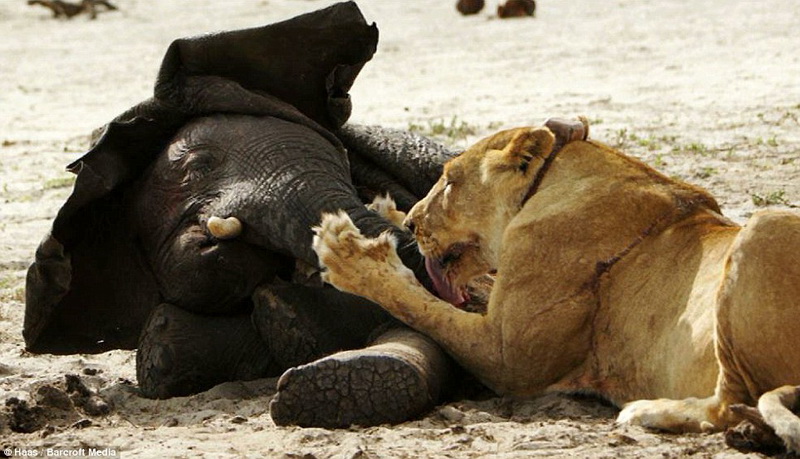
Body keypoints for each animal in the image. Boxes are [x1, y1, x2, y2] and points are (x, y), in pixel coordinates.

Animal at [313, 118, 800, 451]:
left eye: (449, 182)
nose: (415, 223)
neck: (552, 179)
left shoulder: (507, 357)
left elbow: (419, 303)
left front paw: (348, 254)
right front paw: (386, 212)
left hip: (764, 226)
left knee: (730, 402)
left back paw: (648, 411)